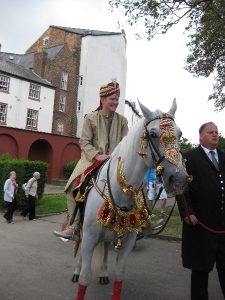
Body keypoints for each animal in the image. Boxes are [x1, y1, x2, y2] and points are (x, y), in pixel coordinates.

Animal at [74, 101, 188, 300]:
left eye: (180, 134)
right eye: (153, 134)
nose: (179, 180)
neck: (120, 193)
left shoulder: (127, 242)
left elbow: (120, 275)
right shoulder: (89, 238)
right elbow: (85, 277)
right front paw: (81, 273)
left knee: (105, 247)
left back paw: (103, 273)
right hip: (82, 229)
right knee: (80, 247)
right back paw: (77, 269)